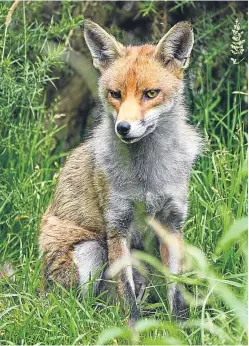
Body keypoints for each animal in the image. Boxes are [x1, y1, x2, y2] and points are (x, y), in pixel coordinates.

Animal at [40, 20, 201, 324]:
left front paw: (182, 327)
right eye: (115, 94)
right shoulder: (118, 225)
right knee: (79, 307)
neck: (147, 177)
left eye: (150, 94)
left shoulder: (172, 223)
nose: (123, 128)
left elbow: (176, 292)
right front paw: (133, 330)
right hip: (90, 251)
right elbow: (126, 295)